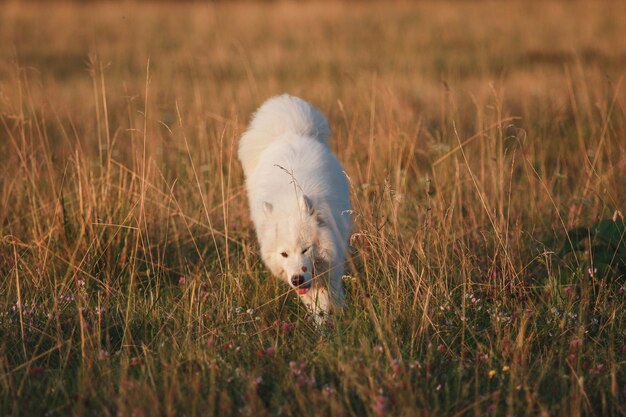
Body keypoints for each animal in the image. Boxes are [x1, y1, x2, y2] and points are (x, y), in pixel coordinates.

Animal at [238, 94, 348, 316]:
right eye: (284, 254)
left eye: (306, 249)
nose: (297, 279)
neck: (289, 203)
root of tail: (290, 132)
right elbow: (316, 304)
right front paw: (323, 321)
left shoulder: (332, 261)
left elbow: (331, 293)